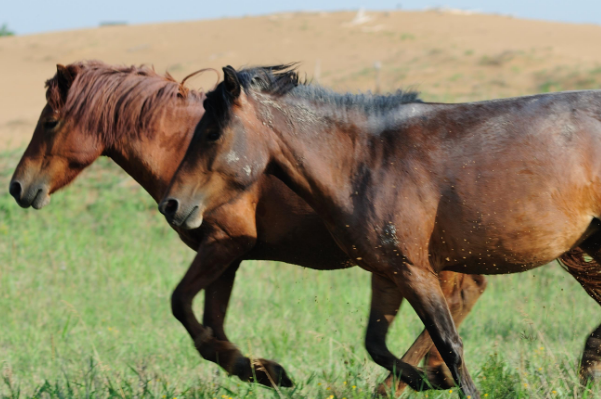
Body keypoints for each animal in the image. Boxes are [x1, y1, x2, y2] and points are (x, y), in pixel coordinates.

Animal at [8, 61, 488, 396]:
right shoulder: (227, 256)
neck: (187, 149)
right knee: (463, 296)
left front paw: (262, 371)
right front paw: (260, 371)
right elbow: (209, 325)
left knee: (457, 299)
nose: (17, 186)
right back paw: (428, 374)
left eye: (50, 122)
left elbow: (183, 306)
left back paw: (418, 379)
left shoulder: (225, 245)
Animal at [158, 64, 600, 398]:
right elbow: (377, 345)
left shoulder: (414, 270)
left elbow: (449, 344)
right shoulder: (388, 272)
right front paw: (424, 380)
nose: (171, 205)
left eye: (212, 133)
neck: (366, 160)